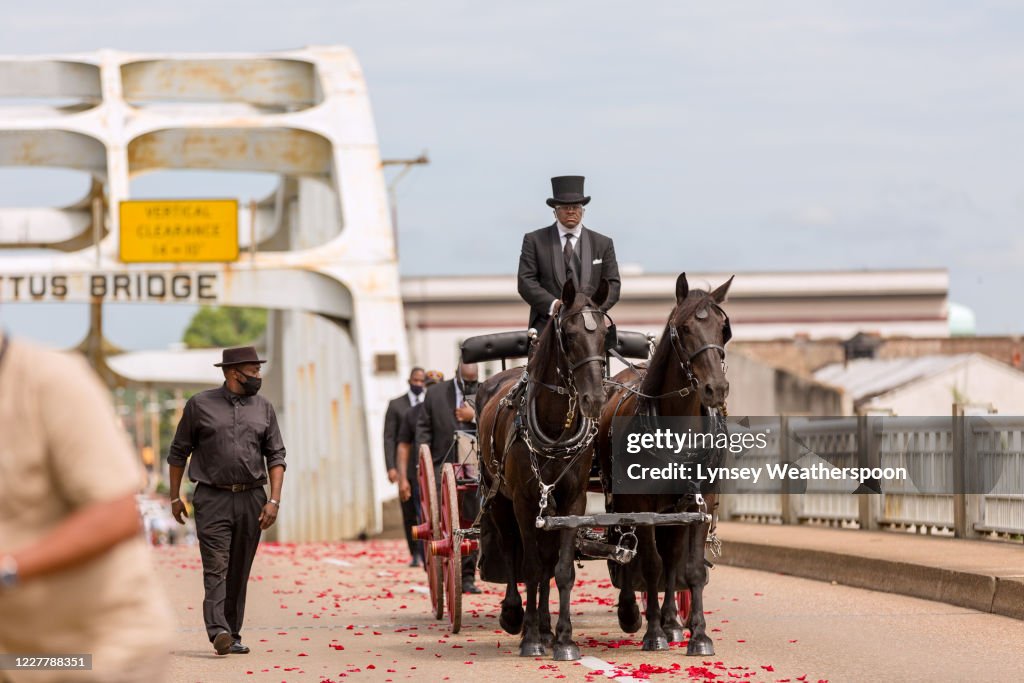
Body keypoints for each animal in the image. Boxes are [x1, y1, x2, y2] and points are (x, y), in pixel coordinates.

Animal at [477, 278, 610, 663]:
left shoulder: (572, 501)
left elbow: (561, 570)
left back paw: (547, 627)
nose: (595, 399)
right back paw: (517, 617)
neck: (555, 425)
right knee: (512, 551)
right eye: (570, 334)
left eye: (605, 333)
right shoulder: (523, 501)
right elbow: (531, 567)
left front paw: (564, 639)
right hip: (498, 498)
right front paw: (531, 637)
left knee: (547, 560)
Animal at [598, 272, 733, 655]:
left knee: (672, 558)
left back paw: (673, 622)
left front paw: (697, 635)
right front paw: (653, 632)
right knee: (627, 552)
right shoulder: (643, 504)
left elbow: (690, 568)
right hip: (625, 501)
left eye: (723, 329)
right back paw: (634, 613)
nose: (716, 389)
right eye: (684, 328)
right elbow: (650, 564)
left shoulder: (701, 503)